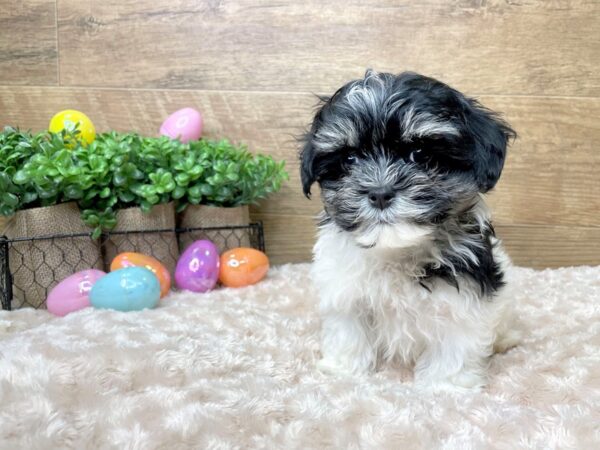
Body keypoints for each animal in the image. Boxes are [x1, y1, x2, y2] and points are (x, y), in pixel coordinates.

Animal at [300, 69, 520, 390]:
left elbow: (454, 346)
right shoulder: (345, 291)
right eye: (350, 159)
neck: (397, 250)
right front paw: (343, 369)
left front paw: (444, 386)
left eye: (420, 154)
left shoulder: (464, 300)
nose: (380, 193)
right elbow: (348, 331)